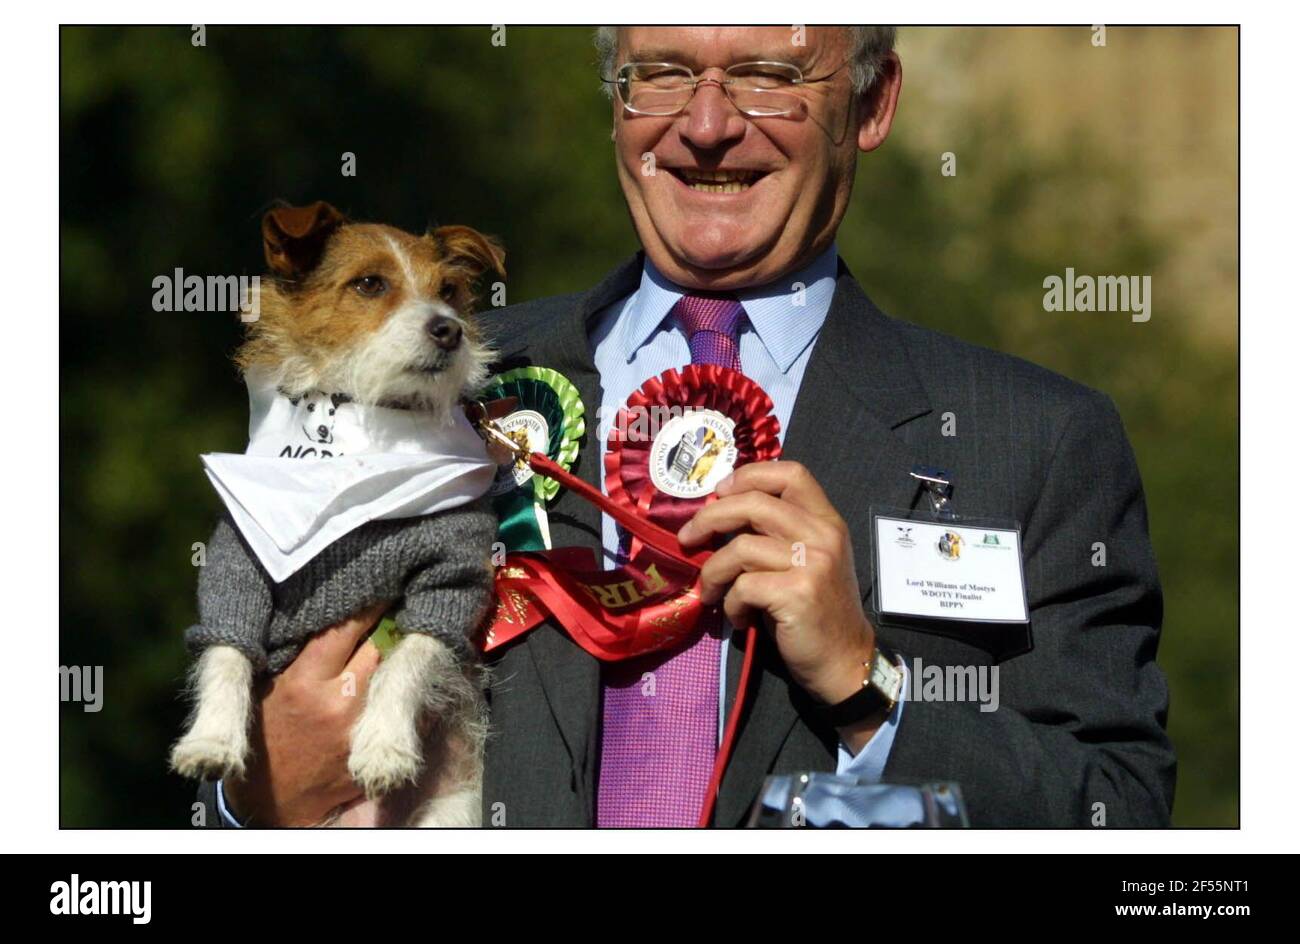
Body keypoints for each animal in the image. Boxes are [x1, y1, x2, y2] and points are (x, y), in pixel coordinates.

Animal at [169, 201, 501, 826]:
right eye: (369, 284)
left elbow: (409, 655)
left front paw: (384, 745)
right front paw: (211, 738)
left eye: (447, 290)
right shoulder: (239, 560)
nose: (449, 328)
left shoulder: (452, 575)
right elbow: (227, 648)